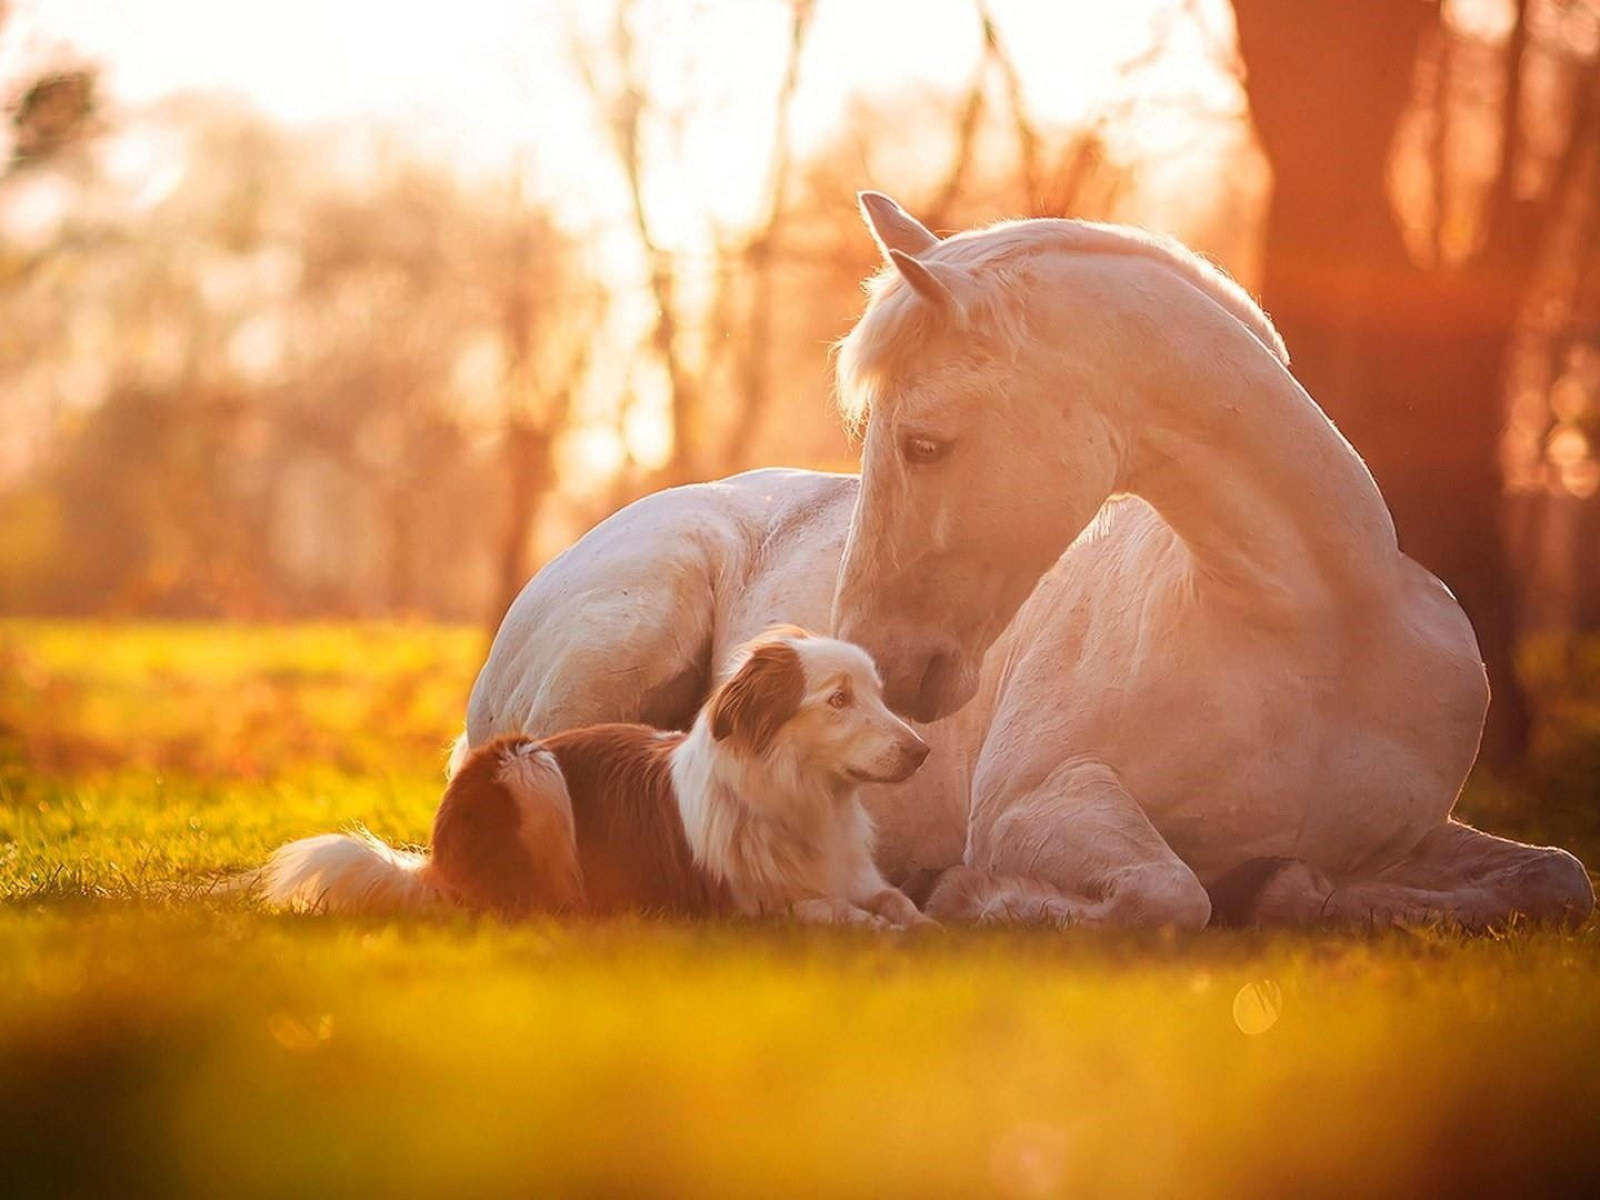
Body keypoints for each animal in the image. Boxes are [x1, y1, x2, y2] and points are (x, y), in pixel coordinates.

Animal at [260, 630, 934, 928]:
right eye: (839, 700)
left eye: (877, 694)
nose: (923, 750)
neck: (807, 798)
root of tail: (436, 864)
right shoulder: (748, 903)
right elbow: (833, 911)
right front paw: (885, 934)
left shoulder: (856, 874)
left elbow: (895, 899)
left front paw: (929, 929)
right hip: (527, 767)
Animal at [460, 192, 1587, 934]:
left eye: (923, 443)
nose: (869, 663)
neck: (1315, 635)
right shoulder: (1038, 802)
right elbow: (1166, 895)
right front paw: (975, 900)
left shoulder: (1409, 836)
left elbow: (1556, 878)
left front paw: (1302, 892)